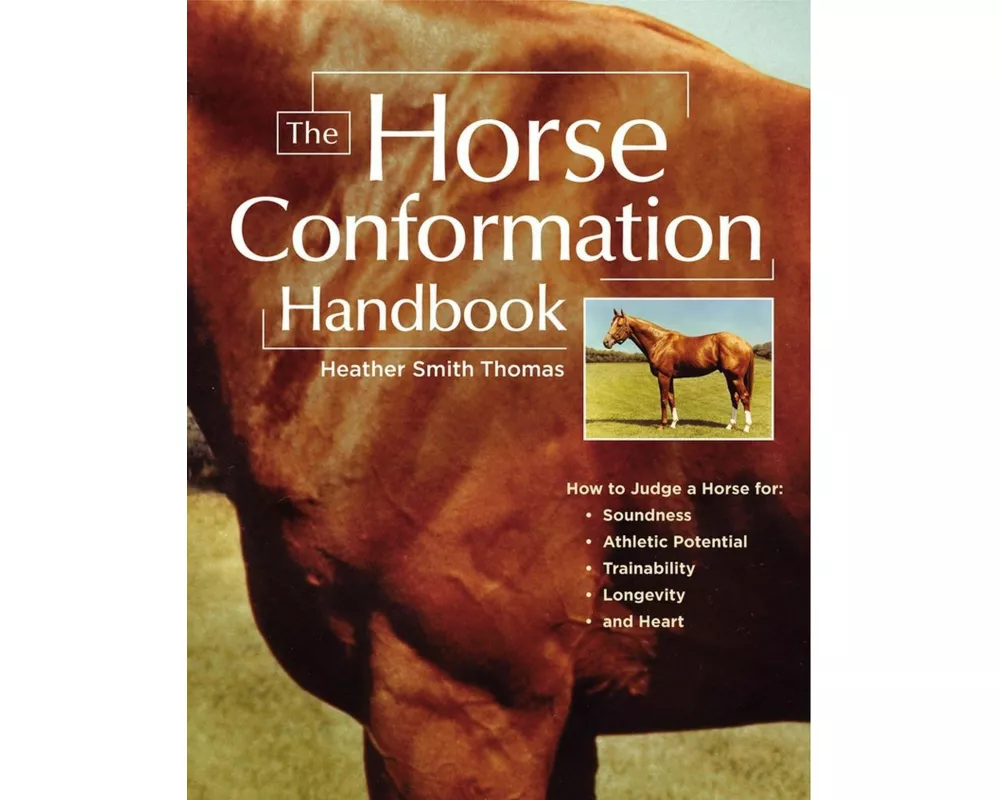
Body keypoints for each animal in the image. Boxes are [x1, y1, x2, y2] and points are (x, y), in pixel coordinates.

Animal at [602, 310, 757, 433]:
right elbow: (672, 398)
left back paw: (746, 427)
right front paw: (673, 423)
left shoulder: (663, 376)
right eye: (611, 323)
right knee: (735, 398)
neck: (659, 342)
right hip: (729, 377)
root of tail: (745, 343)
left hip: (735, 377)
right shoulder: (669, 377)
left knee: (744, 397)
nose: (606, 342)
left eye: (619, 325)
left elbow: (663, 399)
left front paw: (662, 425)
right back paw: (730, 426)